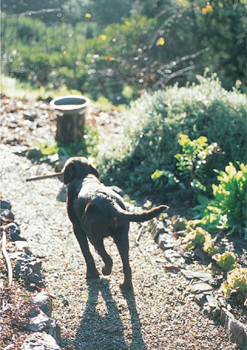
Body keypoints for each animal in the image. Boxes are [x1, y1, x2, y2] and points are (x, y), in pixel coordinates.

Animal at [61, 157, 168, 288]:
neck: (83, 176)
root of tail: (111, 204)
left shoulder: (77, 228)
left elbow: (86, 253)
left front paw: (91, 273)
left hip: (93, 236)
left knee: (108, 259)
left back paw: (105, 271)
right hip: (122, 237)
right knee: (127, 266)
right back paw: (125, 286)